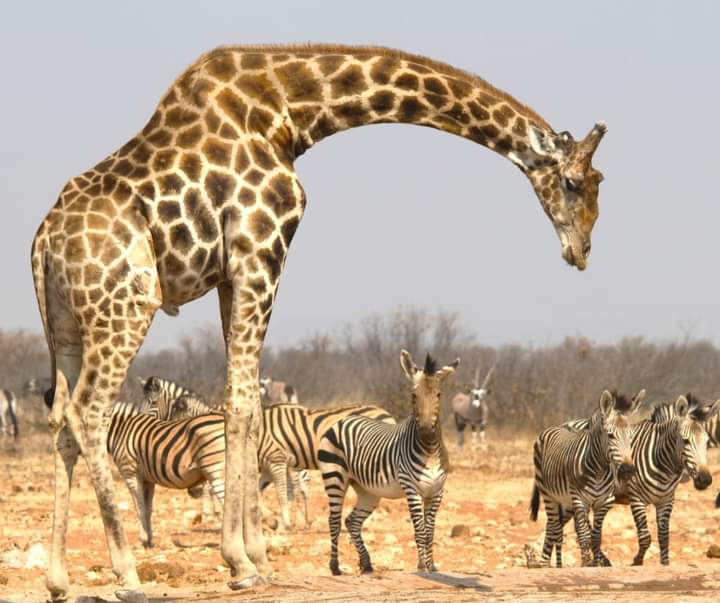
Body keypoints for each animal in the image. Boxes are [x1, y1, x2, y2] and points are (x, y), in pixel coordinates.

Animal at [318, 350, 459, 575]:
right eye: (413, 396)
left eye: (438, 395)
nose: (426, 432)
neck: (429, 451)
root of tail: (345, 419)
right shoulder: (412, 489)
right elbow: (420, 530)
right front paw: (421, 567)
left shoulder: (437, 492)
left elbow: (430, 531)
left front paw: (432, 567)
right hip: (335, 478)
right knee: (334, 521)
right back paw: (335, 567)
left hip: (368, 491)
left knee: (352, 521)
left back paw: (366, 564)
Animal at [529, 389, 645, 567]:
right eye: (610, 436)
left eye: (631, 436)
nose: (628, 470)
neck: (599, 471)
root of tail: (555, 427)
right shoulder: (579, 500)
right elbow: (584, 536)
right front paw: (585, 564)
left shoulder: (604, 502)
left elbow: (596, 538)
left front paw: (595, 564)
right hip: (549, 495)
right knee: (555, 528)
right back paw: (547, 564)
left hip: (566, 502)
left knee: (554, 527)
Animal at [606, 395, 720, 565]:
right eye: (685, 441)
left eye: (706, 442)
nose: (704, 479)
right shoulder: (636, 498)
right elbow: (645, 538)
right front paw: (637, 562)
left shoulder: (666, 500)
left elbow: (664, 537)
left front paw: (665, 564)